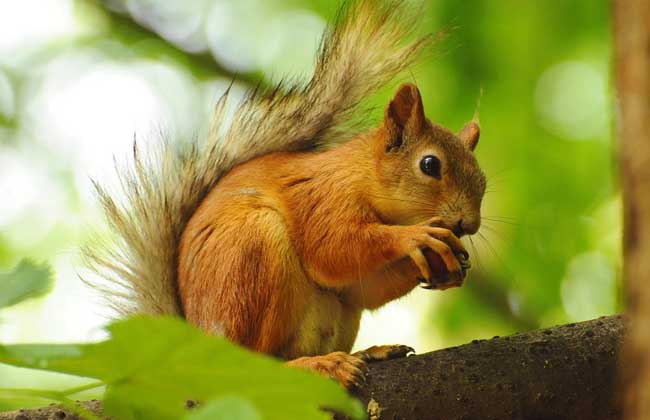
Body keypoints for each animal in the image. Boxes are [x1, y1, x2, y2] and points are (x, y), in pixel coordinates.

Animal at [85, 0, 480, 388]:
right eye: (429, 165)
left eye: (482, 179)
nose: (470, 225)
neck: (361, 176)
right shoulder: (323, 199)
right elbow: (332, 249)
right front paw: (416, 236)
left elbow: (360, 288)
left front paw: (447, 266)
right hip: (252, 256)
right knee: (254, 362)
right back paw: (317, 365)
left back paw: (368, 353)